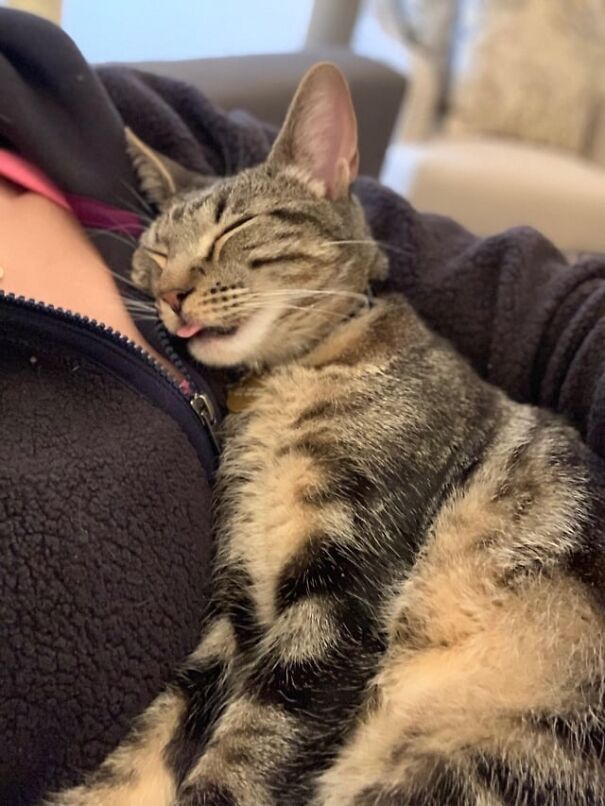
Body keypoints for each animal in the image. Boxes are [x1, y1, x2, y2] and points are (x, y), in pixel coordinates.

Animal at [54, 64, 604, 806]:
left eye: (235, 227)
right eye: (155, 253)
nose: (169, 293)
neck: (290, 378)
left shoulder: (342, 590)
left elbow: (249, 750)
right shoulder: (236, 597)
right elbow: (152, 734)